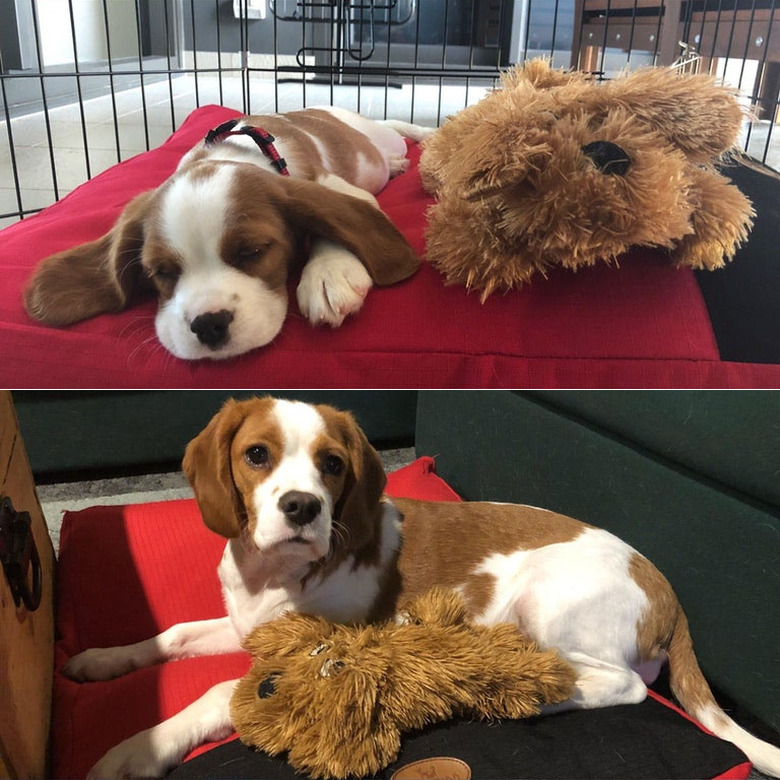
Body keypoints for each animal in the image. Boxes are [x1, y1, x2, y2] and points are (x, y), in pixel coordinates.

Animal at [24, 109, 430, 360]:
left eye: (251, 252)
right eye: (161, 272)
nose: (208, 325)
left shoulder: (335, 189)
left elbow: (333, 218)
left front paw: (329, 274)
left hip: (378, 135)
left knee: (395, 126)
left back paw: (416, 142)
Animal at [62, 400, 780, 776]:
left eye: (332, 464)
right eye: (256, 455)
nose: (302, 507)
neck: (274, 575)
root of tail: (670, 594)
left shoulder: (322, 652)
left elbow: (218, 692)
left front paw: (139, 750)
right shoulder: (243, 624)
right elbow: (177, 632)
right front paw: (102, 660)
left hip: (547, 603)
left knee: (618, 685)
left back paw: (514, 700)